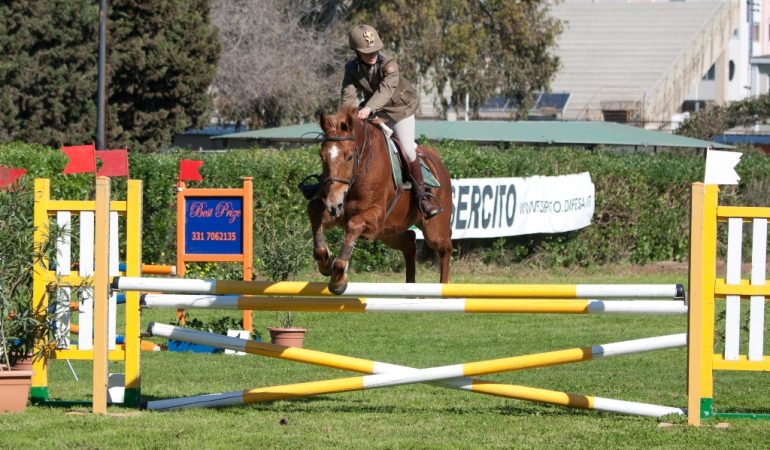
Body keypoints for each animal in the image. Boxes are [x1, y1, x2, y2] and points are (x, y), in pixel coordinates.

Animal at [306, 105, 450, 296]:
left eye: (349, 157)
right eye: (322, 156)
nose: (333, 204)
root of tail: (436, 159)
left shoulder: (375, 216)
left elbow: (354, 225)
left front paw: (338, 279)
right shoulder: (338, 213)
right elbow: (313, 209)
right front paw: (325, 262)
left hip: (433, 231)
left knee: (445, 248)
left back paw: (446, 287)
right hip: (388, 232)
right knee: (410, 242)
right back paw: (410, 286)